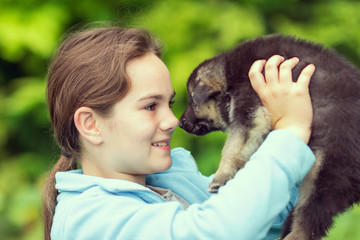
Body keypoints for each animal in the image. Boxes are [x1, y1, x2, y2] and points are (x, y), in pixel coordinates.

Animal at [179, 34, 360, 240]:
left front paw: (221, 176)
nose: (180, 123)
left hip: (326, 172)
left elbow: (232, 149)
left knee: (310, 217)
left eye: (192, 101)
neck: (230, 75)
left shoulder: (251, 108)